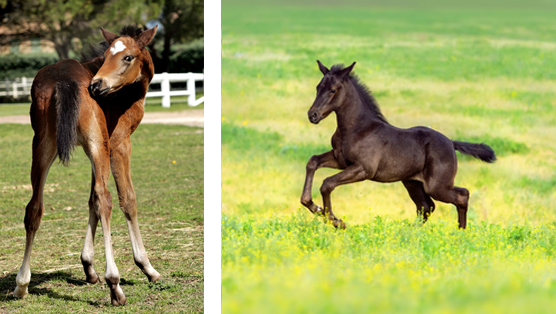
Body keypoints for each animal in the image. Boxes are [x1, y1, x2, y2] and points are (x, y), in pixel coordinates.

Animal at [13, 25, 161, 306]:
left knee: (34, 207)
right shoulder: (117, 143)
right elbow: (126, 199)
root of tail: (62, 80)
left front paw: (88, 267)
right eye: (106, 55)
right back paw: (114, 284)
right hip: (95, 145)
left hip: (44, 145)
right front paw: (147, 267)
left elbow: (91, 199)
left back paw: (22, 284)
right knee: (106, 198)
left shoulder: (95, 149)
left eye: (127, 57)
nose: (97, 85)